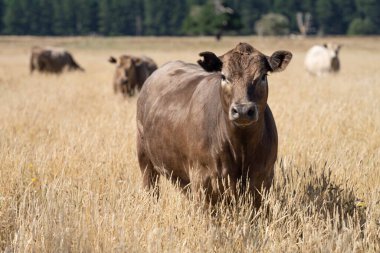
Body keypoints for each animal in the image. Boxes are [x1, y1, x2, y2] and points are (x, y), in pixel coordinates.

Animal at [137, 42, 294, 208]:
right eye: (224, 76)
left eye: (263, 76)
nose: (243, 110)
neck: (241, 146)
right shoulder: (203, 180)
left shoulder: (262, 178)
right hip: (145, 160)